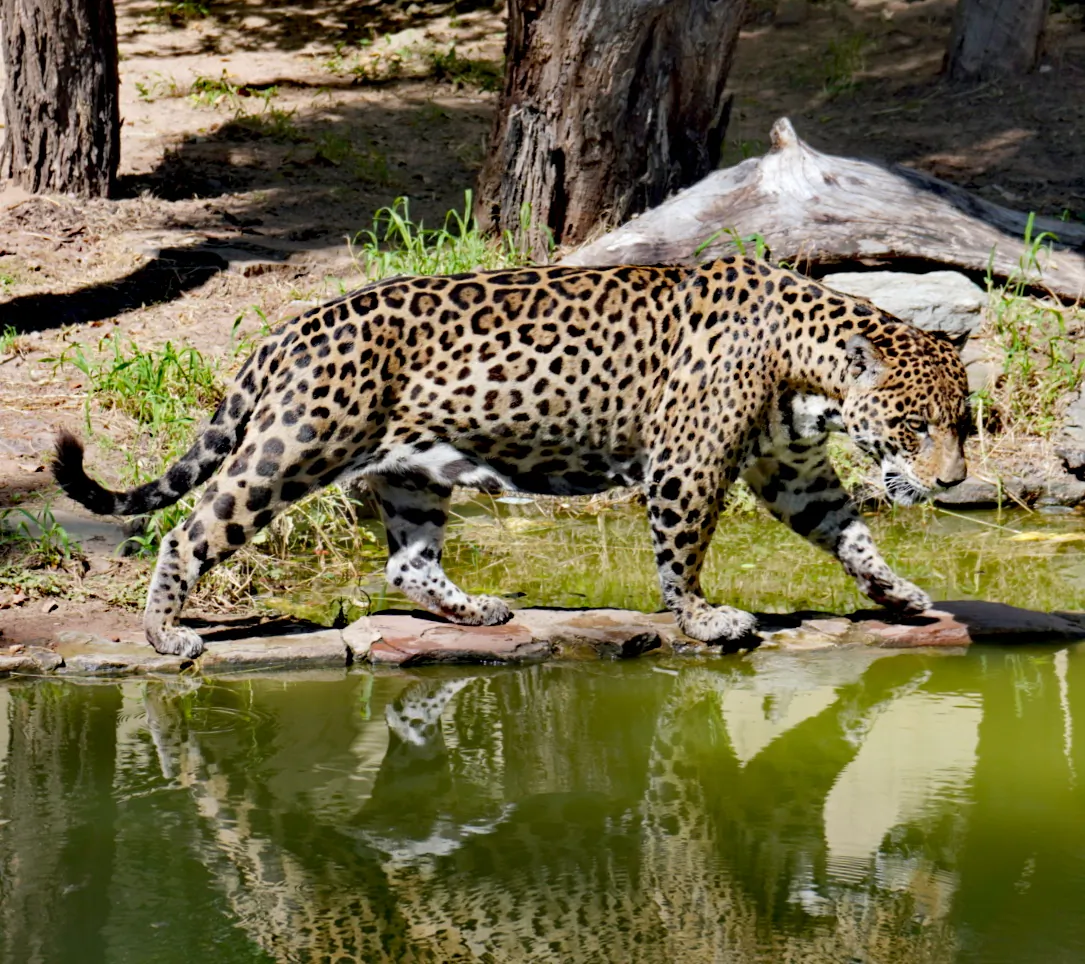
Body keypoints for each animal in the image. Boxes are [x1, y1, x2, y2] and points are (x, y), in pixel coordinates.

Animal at [52, 256, 970, 659]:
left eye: (961, 423)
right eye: (914, 425)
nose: (954, 479)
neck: (807, 368)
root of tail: (287, 329)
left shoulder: (789, 469)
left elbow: (848, 532)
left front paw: (900, 594)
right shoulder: (687, 466)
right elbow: (682, 554)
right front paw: (705, 620)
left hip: (410, 469)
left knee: (408, 563)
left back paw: (477, 612)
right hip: (293, 449)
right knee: (189, 531)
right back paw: (164, 633)